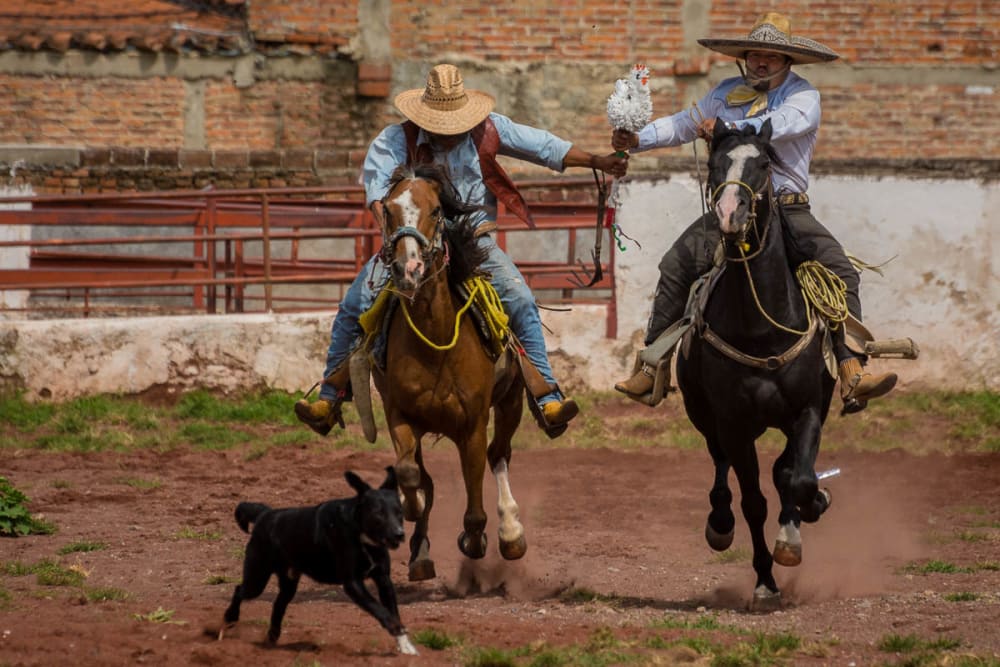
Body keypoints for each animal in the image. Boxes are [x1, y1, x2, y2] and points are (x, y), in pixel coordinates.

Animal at [220, 468, 418, 656]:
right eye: (378, 514)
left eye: (399, 512)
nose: (399, 534)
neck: (361, 535)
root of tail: (265, 514)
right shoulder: (352, 583)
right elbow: (380, 610)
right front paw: (397, 630)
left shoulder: (384, 580)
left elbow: (393, 612)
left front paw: (405, 646)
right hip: (257, 577)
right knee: (239, 591)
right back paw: (229, 621)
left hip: (288, 582)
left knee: (278, 604)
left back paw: (272, 638)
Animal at [368, 164, 528, 580]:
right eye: (388, 209)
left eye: (437, 210)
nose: (408, 268)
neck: (435, 341)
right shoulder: (399, 415)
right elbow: (410, 474)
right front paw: (411, 509)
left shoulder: (472, 425)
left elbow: (474, 506)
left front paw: (476, 540)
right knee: (426, 477)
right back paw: (421, 554)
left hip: (512, 402)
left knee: (498, 454)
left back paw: (510, 532)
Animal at [680, 120, 836, 612]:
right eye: (715, 165)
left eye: (765, 164)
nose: (730, 212)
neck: (762, 328)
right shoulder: (732, 423)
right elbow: (753, 501)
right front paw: (766, 582)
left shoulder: (808, 411)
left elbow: (797, 478)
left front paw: (808, 512)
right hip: (705, 418)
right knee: (721, 470)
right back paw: (719, 522)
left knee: (784, 471)